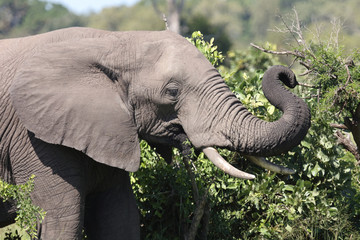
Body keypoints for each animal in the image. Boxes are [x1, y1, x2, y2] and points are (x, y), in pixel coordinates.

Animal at [0, 27, 310, 239]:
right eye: (172, 92)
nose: (290, 76)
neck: (112, 43)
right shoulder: (33, 138)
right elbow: (61, 221)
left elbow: (120, 216)